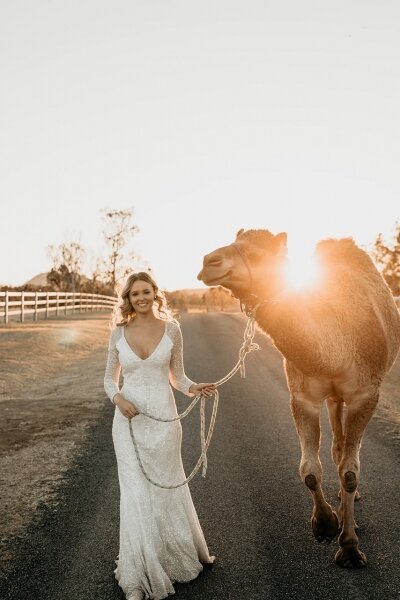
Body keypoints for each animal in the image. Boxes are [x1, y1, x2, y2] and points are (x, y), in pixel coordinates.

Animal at [197, 229, 400, 568]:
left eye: (257, 256)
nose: (208, 262)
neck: (335, 349)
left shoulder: (365, 395)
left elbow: (350, 472)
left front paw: (350, 549)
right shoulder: (302, 396)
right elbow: (309, 468)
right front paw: (326, 524)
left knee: (344, 454)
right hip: (332, 399)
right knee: (336, 445)